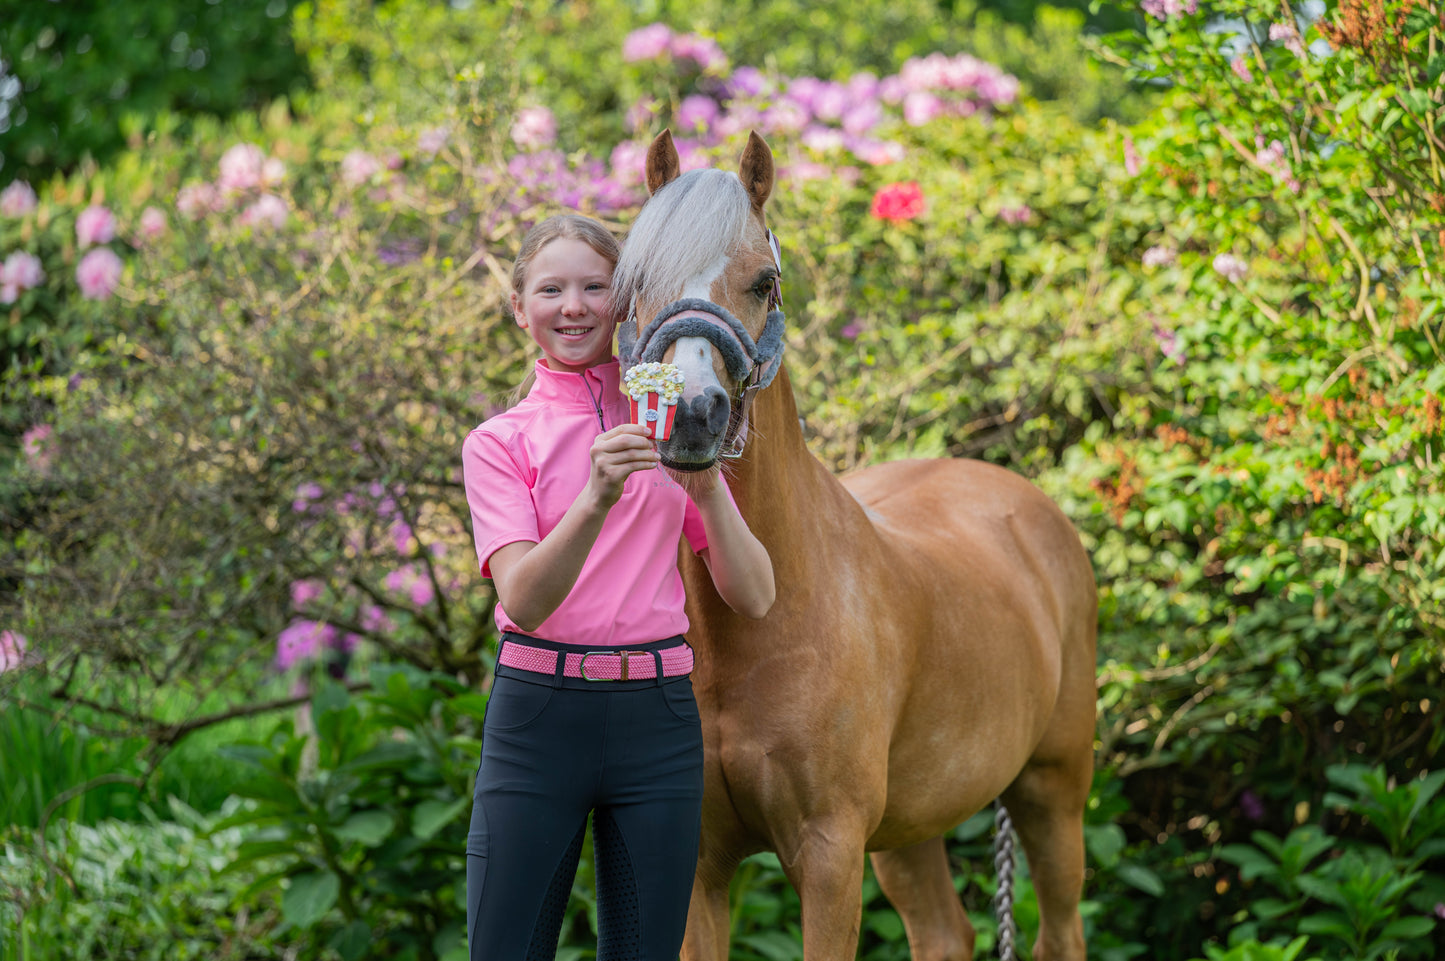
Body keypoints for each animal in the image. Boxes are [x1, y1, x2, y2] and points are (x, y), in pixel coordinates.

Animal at [611, 129, 1098, 961]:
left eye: (764, 280)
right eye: (636, 278)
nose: (693, 414)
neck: (758, 622)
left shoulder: (829, 855)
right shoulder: (699, 863)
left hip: (1051, 793)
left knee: (1059, 933)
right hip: (910, 826)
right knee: (943, 932)